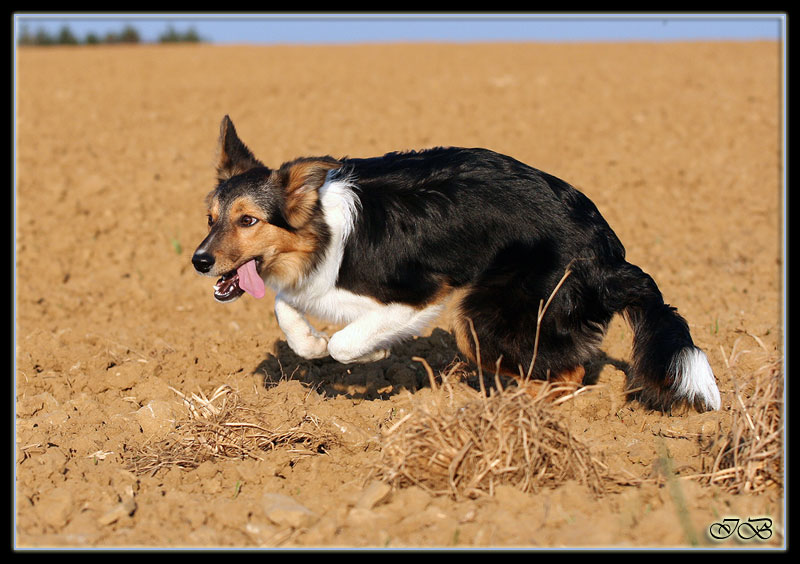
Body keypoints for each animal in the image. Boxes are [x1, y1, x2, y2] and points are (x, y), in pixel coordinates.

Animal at [192, 117, 720, 412]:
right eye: (211, 219)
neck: (321, 229)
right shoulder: (321, 287)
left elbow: (343, 343)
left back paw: (507, 408)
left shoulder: (420, 294)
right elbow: (288, 308)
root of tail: (610, 256)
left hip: (484, 316)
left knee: (566, 375)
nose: (199, 261)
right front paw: (320, 343)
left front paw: (372, 356)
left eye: (248, 220)